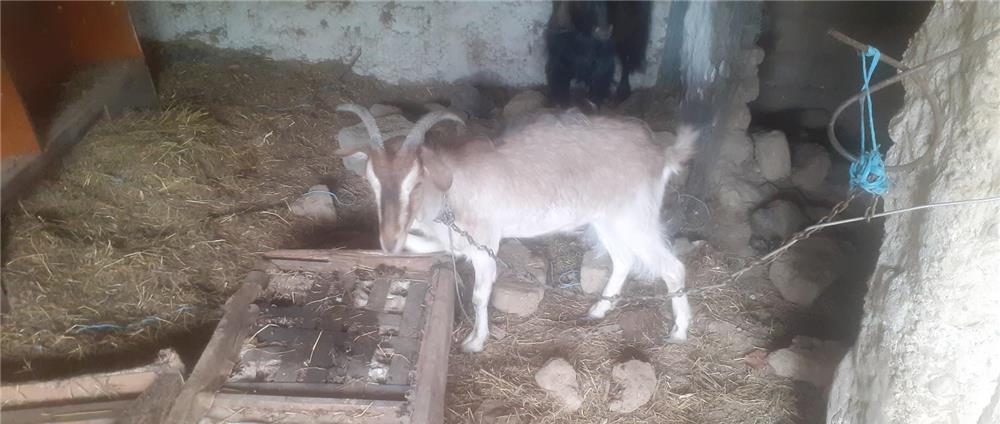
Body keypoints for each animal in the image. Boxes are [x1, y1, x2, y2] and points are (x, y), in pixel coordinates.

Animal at [335, 104, 699, 353]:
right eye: (372, 181)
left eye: (416, 181)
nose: (389, 241)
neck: (452, 186)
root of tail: (661, 153)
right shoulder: (454, 241)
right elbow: (422, 245)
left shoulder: (485, 243)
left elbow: (480, 295)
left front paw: (474, 341)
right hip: (607, 219)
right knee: (623, 259)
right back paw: (597, 310)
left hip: (634, 218)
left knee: (672, 267)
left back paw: (679, 332)